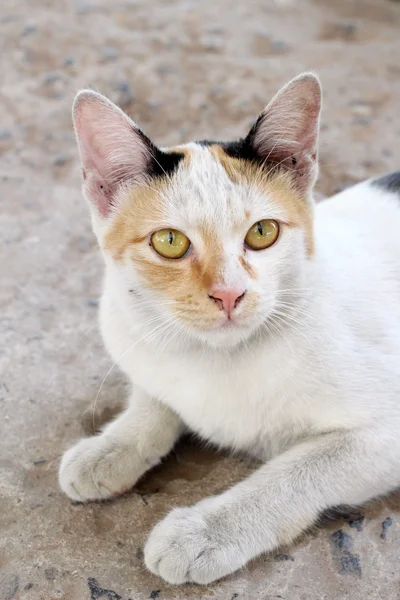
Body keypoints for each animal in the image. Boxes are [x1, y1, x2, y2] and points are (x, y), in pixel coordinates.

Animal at [58, 72, 400, 584]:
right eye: (169, 241)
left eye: (262, 233)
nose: (228, 294)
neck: (217, 358)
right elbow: (155, 397)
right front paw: (111, 447)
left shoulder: (385, 433)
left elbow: (295, 472)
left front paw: (207, 531)